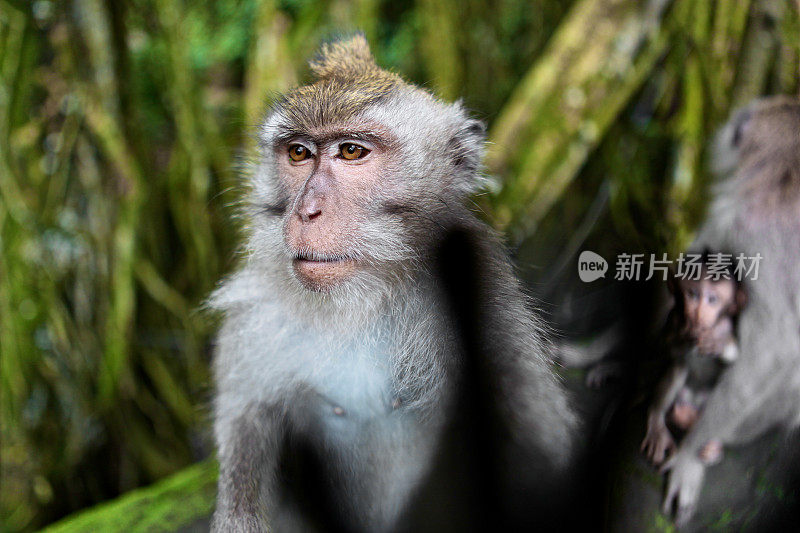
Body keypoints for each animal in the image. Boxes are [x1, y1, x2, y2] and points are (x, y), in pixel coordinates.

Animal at [209, 35, 580, 528]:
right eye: (298, 153)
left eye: (351, 152)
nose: (307, 212)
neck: (360, 300)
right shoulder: (257, 310)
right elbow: (246, 429)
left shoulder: (484, 296)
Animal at [640, 258, 748, 466]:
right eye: (693, 294)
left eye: (712, 300)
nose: (697, 313)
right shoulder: (674, 316)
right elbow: (667, 348)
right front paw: (685, 331)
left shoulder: (729, 323)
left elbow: (737, 359)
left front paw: (719, 340)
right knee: (677, 369)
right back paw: (664, 421)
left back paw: (709, 444)